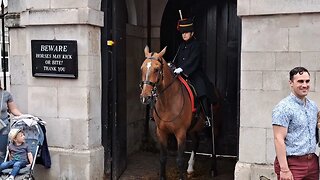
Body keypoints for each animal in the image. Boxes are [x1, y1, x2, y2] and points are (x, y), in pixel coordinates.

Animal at [139, 45, 216, 180]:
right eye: (142, 68)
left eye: (157, 69)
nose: (145, 97)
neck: (168, 101)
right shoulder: (161, 132)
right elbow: (163, 158)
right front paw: (162, 177)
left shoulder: (180, 133)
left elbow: (179, 160)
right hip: (192, 128)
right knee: (196, 142)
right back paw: (190, 168)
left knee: (213, 145)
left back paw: (212, 169)